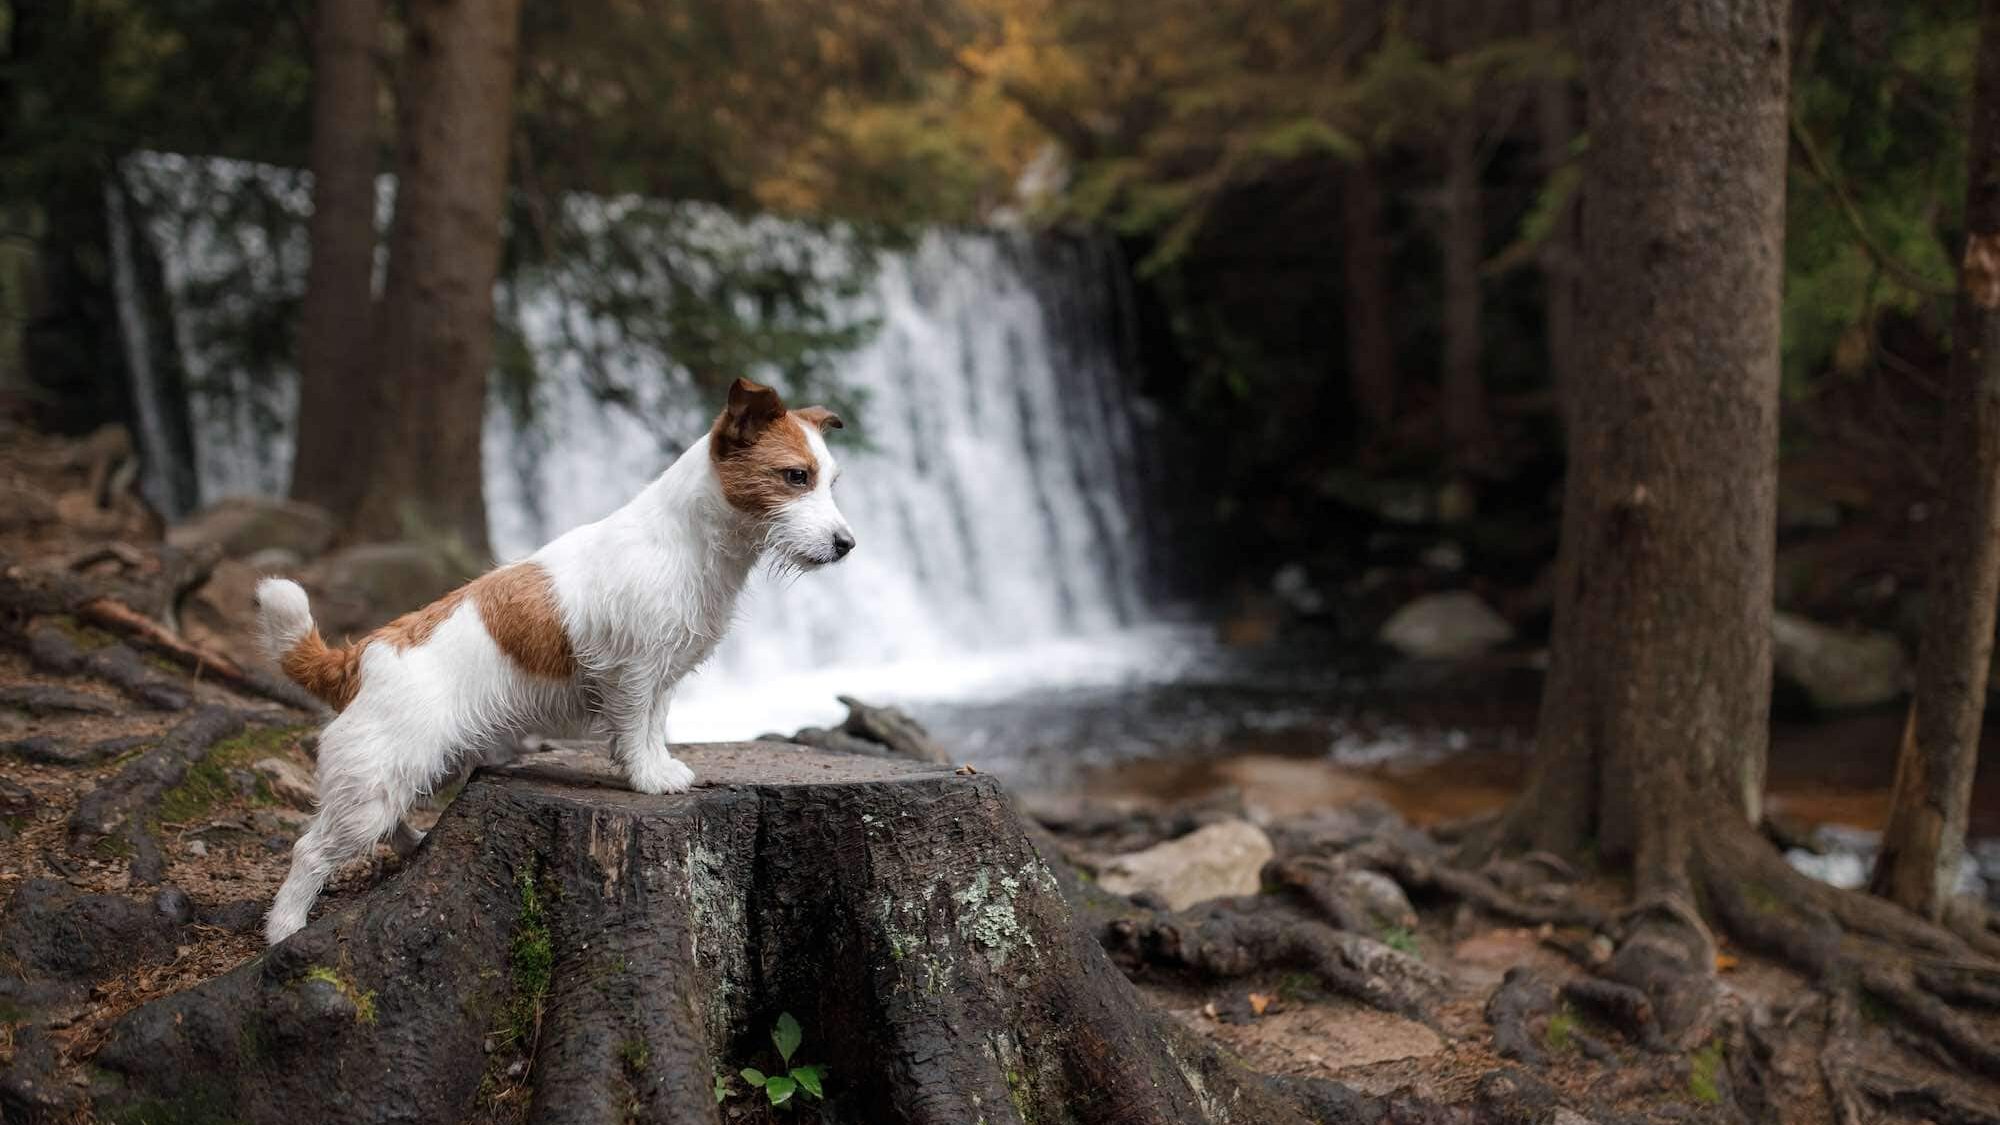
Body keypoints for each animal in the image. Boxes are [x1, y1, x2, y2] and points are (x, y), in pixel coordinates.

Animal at [254, 380, 848, 940]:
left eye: (831, 482)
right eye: (795, 476)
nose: (847, 544)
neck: (685, 541)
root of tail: (357, 660)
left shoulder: (661, 676)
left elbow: (654, 727)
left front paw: (662, 766)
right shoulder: (633, 674)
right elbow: (635, 729)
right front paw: (648, 779)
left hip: (414, 768)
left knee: (392, 820)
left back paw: (415, 843)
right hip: (373, 782)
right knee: (310, 851)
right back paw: (284, 929)